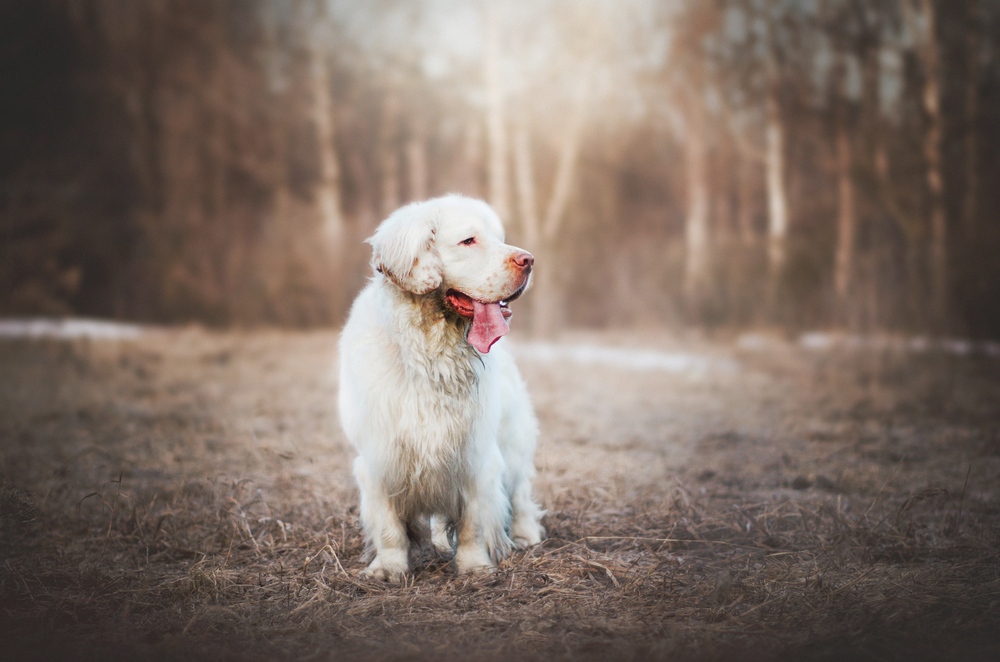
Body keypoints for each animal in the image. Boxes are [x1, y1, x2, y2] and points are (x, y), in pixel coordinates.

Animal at [338, 195, 544, 584]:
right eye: (469, 241)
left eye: (500, 238)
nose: (528, 260)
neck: (431, 351)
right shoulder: (380, 455)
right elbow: (388, 525)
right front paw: (388, 568)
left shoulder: (475, 454)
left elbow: (473, 521)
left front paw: (474, 566)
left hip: (513, 441)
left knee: (522, 491)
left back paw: (526, 535)